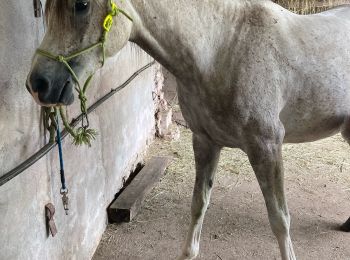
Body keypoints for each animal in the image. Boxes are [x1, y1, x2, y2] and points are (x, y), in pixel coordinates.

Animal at [26, 1, 350, 258]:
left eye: (81, 5)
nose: (38, 84)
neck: (222, 48)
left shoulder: (267, 146)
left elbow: (280, 220)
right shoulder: (205, 141)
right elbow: (198, 205)